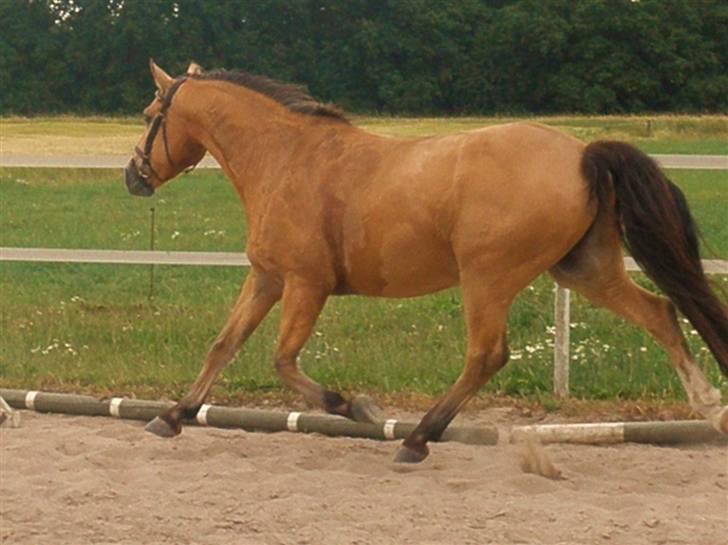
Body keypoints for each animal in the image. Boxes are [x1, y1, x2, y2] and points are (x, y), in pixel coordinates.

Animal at [122, 59, 724, 462]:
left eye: (151, 114)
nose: (133, 176)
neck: (286, 159)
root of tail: (580, 153)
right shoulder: (268, 278)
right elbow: (223, 345)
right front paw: (172, 416)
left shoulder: (305, 284)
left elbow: (282, 361)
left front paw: (359, 408)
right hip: (585, 270)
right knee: (661, 313)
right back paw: (711, 406)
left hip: (487, 277)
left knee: (486, 355)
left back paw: (416, 439)